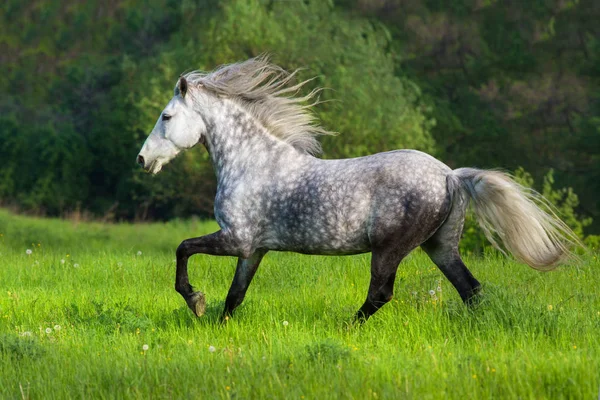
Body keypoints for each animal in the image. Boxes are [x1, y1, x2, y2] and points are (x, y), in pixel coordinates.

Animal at [136, 55, 576, 322]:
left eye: (166, 116)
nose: (142, 159)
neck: (252, 163)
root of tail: (449, 175)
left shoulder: (237, 240)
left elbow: (183, 249)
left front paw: (195, 302)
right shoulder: (253, 249)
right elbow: (234, 296)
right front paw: (215, 324)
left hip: (389, 248)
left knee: (381, 294)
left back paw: (347, 327)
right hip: (440, 246)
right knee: (471, 289)